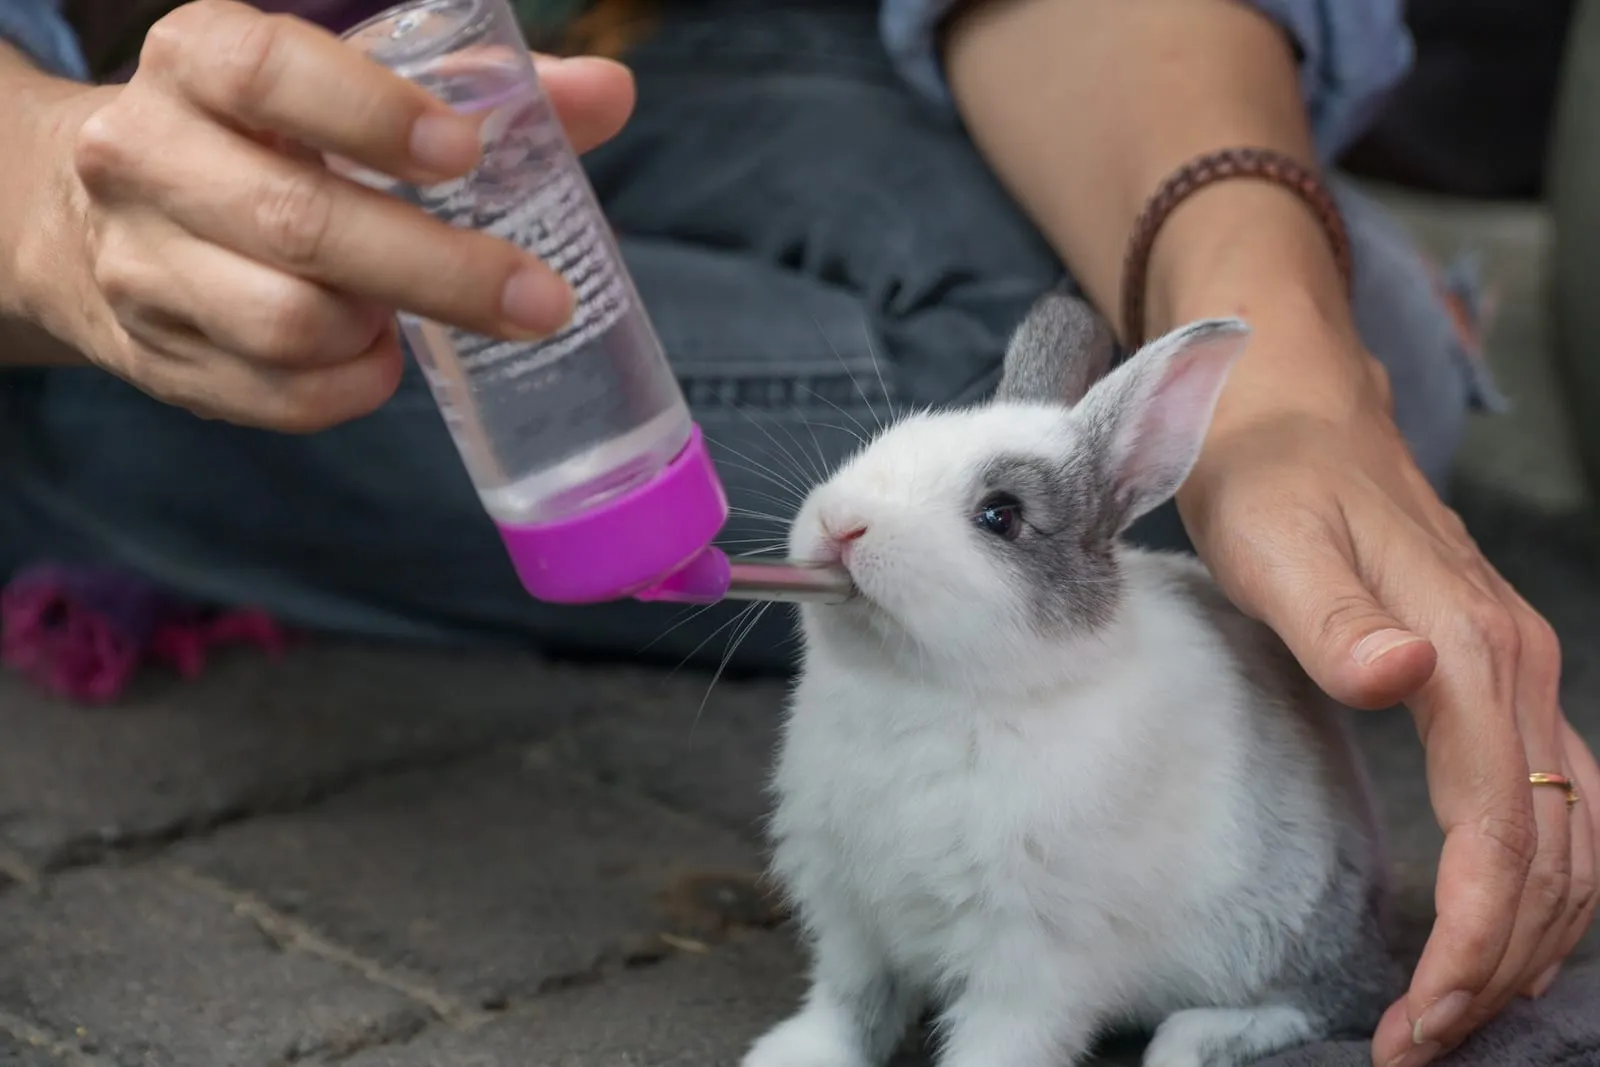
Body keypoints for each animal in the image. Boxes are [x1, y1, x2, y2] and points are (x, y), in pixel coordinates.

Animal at [741, 289, 1402, 1067]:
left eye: (1000, 515)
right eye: (891, 437)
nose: (842, 526)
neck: (935, 694)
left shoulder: (1031, 955)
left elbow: (1000, 1039)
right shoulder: (851, 916)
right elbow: (849, 1006)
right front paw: (792, 1055)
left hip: (1291, 933)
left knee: (1338, 1004)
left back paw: (1189, 1041)